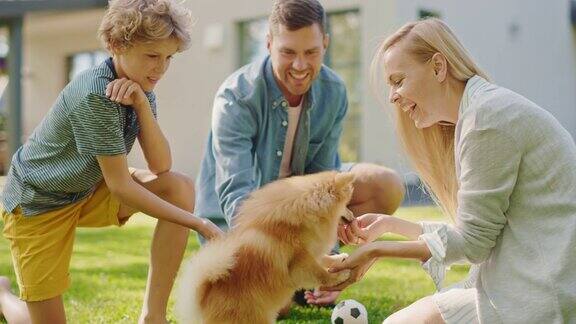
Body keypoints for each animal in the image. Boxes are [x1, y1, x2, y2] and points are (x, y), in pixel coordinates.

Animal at [176, 171, 356, 322]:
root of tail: (202, 299)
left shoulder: (311, 249)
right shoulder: (299, 262)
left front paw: (339, 258)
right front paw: (339, 276)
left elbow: (324, 259)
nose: (353, 216)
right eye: (347, 205)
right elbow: (319, 272)